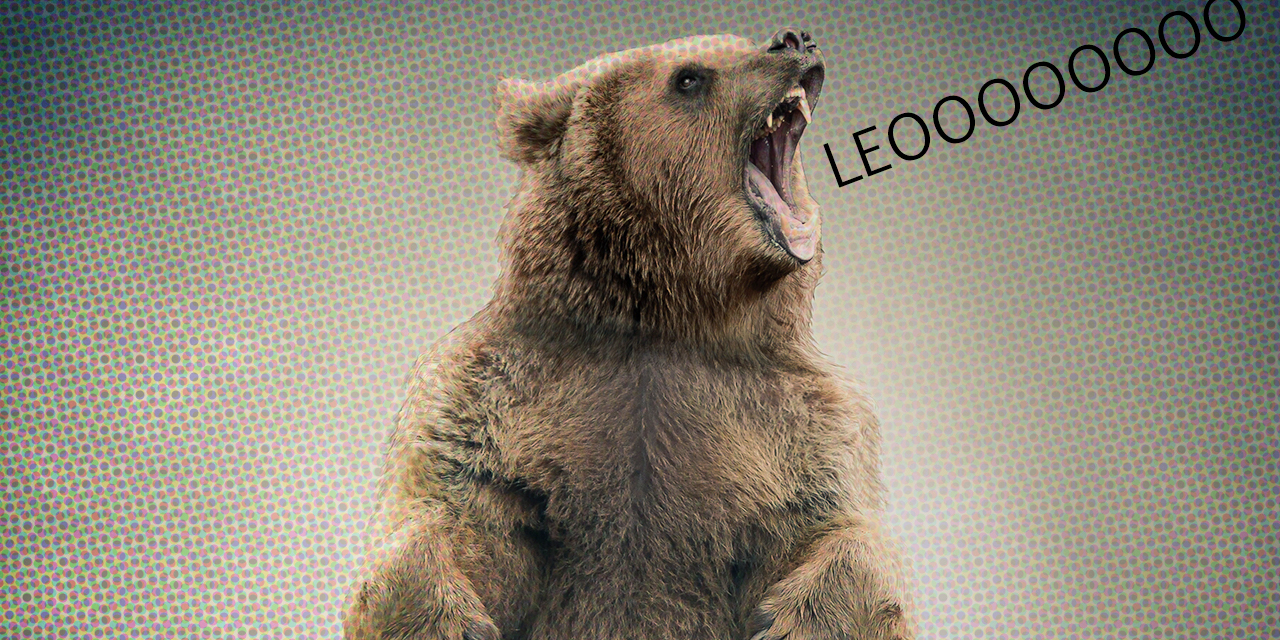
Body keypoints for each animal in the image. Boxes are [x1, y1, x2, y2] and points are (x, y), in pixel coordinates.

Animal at [342, 27, 915, 640]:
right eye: (689, 76)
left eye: (740, 42)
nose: (794, 39)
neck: (664, 317)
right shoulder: (492, 401)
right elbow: (461, 518)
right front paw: (444, 618)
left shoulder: (798, 425)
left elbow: (833, 531)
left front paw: (798, 621)